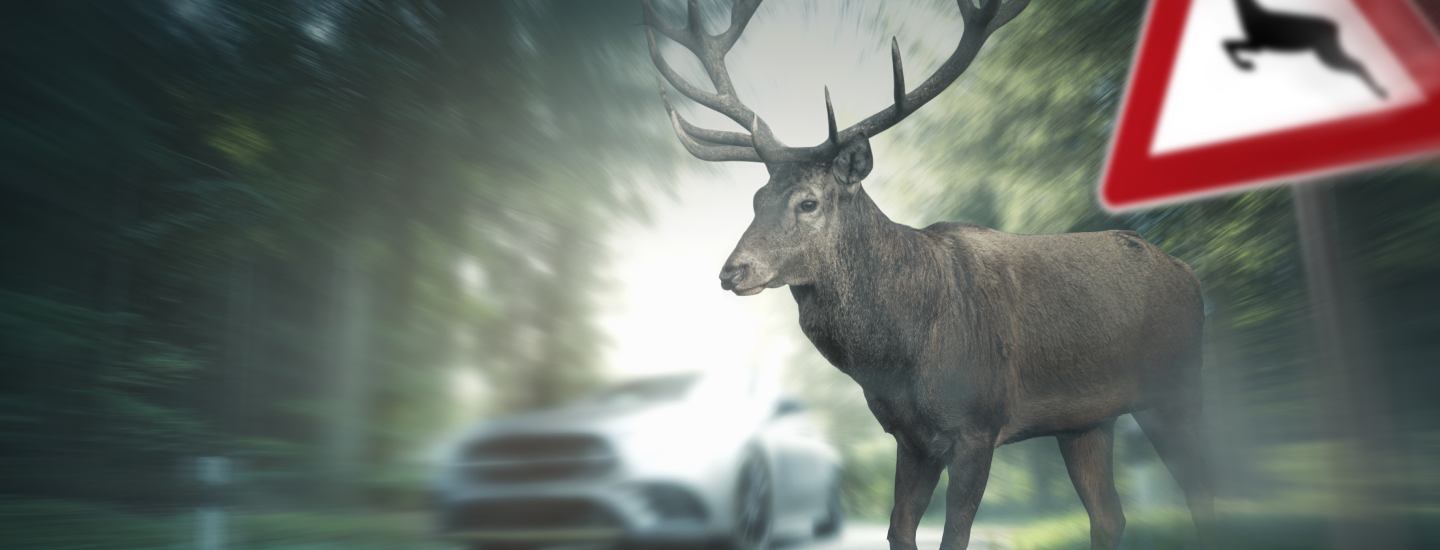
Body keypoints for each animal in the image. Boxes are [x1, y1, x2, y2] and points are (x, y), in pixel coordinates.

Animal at [639, 1, 1213, 549]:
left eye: (808, 202)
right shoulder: (909, 437)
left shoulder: (979, 424)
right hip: (1086, 422)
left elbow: (954, 535)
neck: (901, 355)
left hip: (1177, 388)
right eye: (757, 199)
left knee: (1205, 493)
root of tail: (1190, 274)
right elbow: (900, 531)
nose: (732, 271)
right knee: (1110, 516)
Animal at [1224, 0, 1387, 98]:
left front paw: (1245, 65)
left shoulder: (1257, 45)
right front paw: (1246, 65)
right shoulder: (1256, 45)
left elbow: (1227, 44)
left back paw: (1381, 93)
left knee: (1357, 64)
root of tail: (1335, 26)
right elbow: (1227, 43)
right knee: (1357, 63)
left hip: (1327, 53)